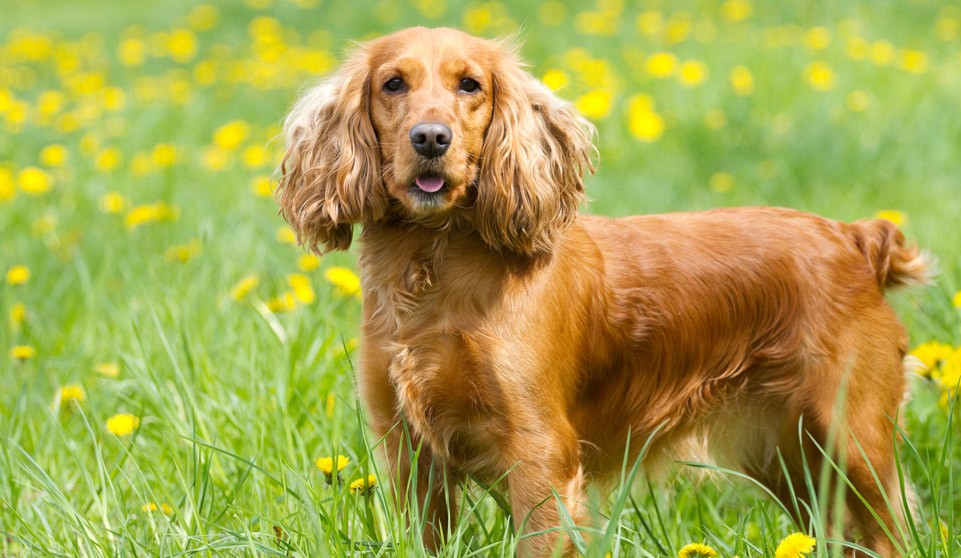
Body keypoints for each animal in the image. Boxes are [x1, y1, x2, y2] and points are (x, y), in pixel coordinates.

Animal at [274, 27, 928, 558]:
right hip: (791, 458)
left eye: (470, 84)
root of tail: (856, 238)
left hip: (852, 442)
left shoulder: (541, 458)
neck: (433, 268)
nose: (431, 138)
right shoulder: (410, 454)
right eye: (392, 83)